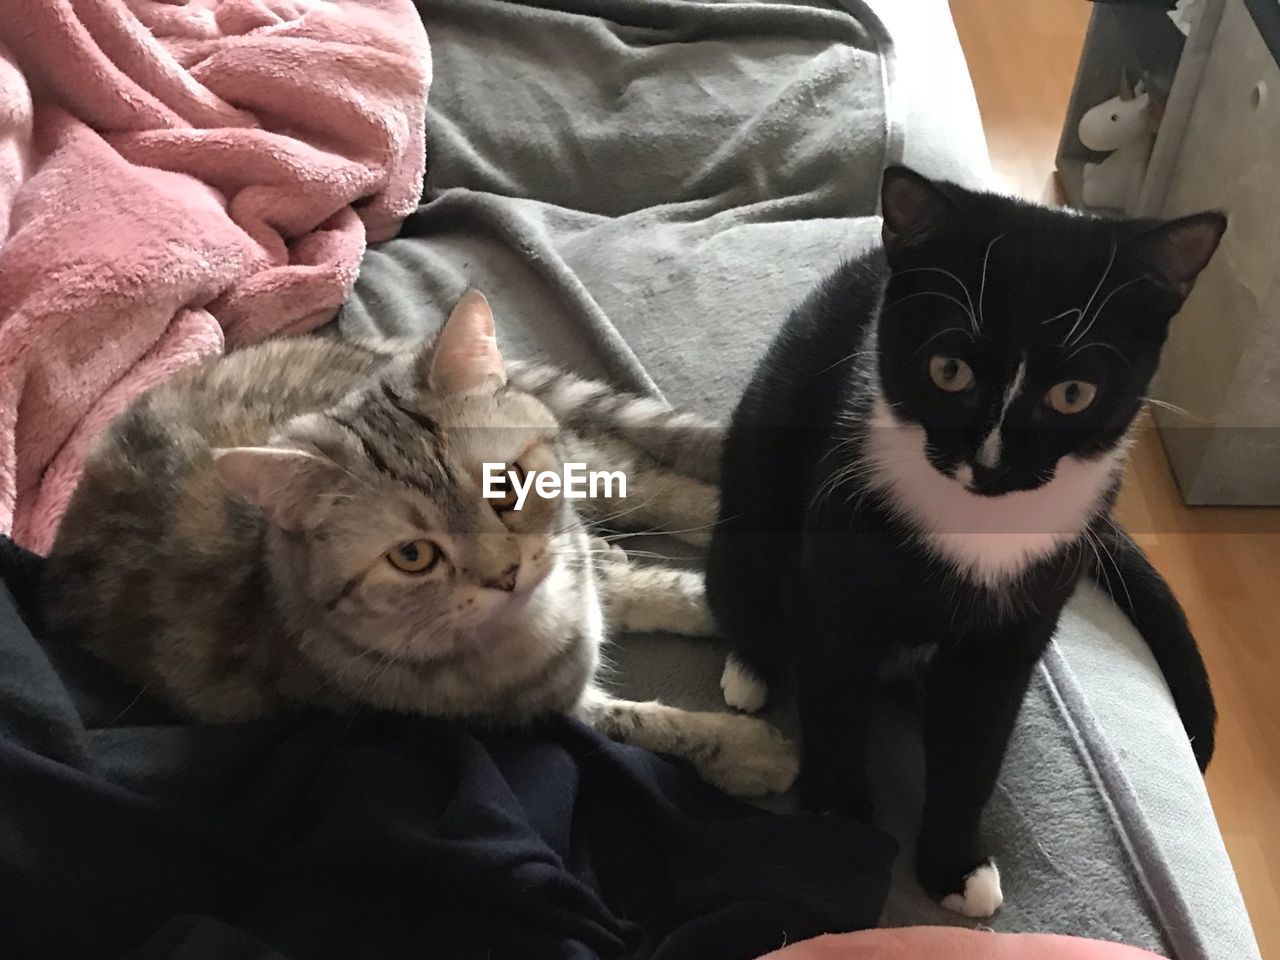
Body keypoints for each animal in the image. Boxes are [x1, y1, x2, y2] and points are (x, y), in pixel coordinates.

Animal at [45, 291, 798, 798]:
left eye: (504, 486)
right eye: (412, 557)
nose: (503, 576)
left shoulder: (571, 555)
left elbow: (657, 583)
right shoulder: (533, 708)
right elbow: (635, 722)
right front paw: (743, 748)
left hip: (592, 463)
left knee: (655, 478)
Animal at [706, 168, 1223, 921]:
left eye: (1074, 393)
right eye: (948, 370)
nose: (990, 461)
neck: (977, 524)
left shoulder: (1014, 632)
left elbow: (975, 745)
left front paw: (954, 865)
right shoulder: (835, 578)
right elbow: (833, 696)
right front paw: (837, 816)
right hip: (754, 475)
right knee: (743, 580)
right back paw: (752, 668)